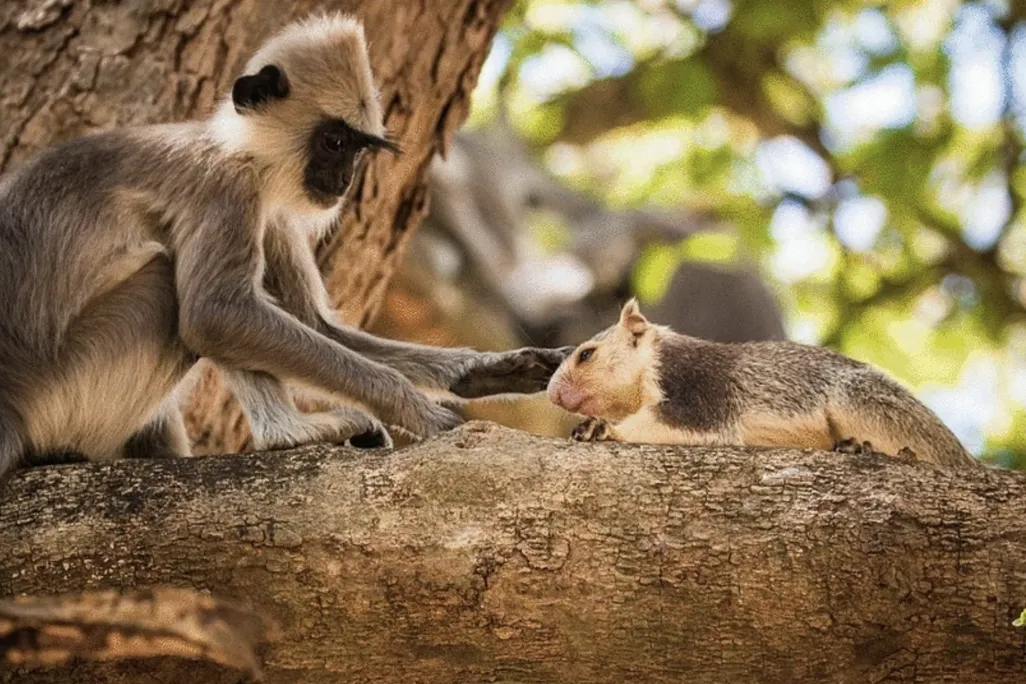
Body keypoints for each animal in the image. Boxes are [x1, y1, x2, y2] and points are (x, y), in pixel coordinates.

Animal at [0, 14, 570, 479]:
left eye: (357, 150)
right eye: (334, 142)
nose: (344, 180)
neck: (238, 148)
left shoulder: (272, 210)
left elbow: (317, 325)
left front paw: (484, 372)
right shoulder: (227, 186)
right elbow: (215, 314)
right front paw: (413, 407)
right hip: (62, 393)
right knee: (185, 291)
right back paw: (287, 435)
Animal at [546, 299, 980, 469]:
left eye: (586, 354)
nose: (552, 393)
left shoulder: (699, 384)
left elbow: (690, 423)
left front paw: (603, 429)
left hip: (862, 400)